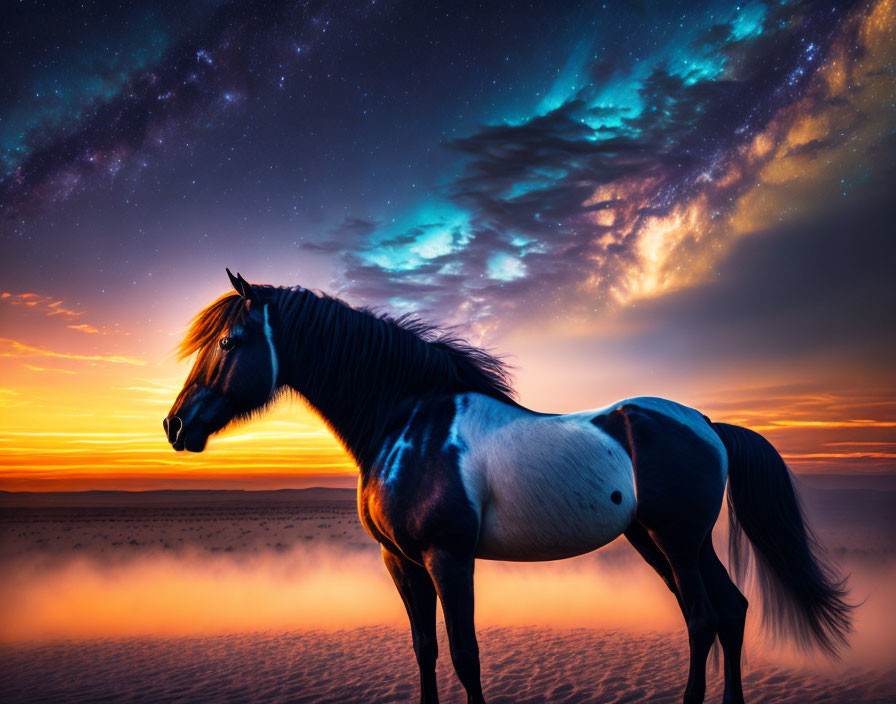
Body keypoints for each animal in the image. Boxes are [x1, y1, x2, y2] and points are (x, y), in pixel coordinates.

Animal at [163, 270, 856, 704]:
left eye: (229, 341)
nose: (174, 425)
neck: (409, 420)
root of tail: (707, 423)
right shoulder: (400, 562)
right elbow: (424, 650)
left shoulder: (448, 558)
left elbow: (465, 655)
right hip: (659, 540)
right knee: (729, 612)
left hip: (676, 539)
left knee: (705, 618)